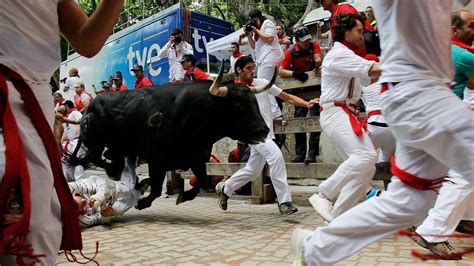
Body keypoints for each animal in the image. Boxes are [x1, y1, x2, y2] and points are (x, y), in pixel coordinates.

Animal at [77, 71, 274, 209]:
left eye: (256, 103)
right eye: (239, 106)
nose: (264, 130)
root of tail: (90, 107)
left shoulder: (196, 157)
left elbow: (202, 180)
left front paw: (183, 196)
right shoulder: (156, 159)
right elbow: (157, 188)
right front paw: (141, 202)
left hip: (117, 148)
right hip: (95, 142)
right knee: (94, 159)